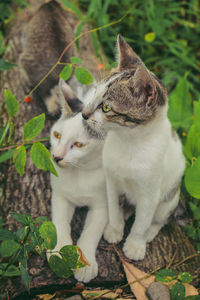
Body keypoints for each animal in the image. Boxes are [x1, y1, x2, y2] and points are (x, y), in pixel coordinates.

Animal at [49, 79, 107, 282]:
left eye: (79, 145)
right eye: (57, 135)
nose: (56, 157)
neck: (81, 172)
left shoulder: (104, 206)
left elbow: (91, 232)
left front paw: (86, 262)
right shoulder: (60, 196)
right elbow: (59, 221)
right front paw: (59, 252)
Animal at [82, 34, 185, 260]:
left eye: (106, 107)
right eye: (93, 94)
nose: (83, 114)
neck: (128, 142)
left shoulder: (150, 193)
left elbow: (142, 222)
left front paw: (135, 245)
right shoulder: (111, 180)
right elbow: (113, 207)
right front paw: (114, 228)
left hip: (170, 197)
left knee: (160, 218)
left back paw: (150, 232)